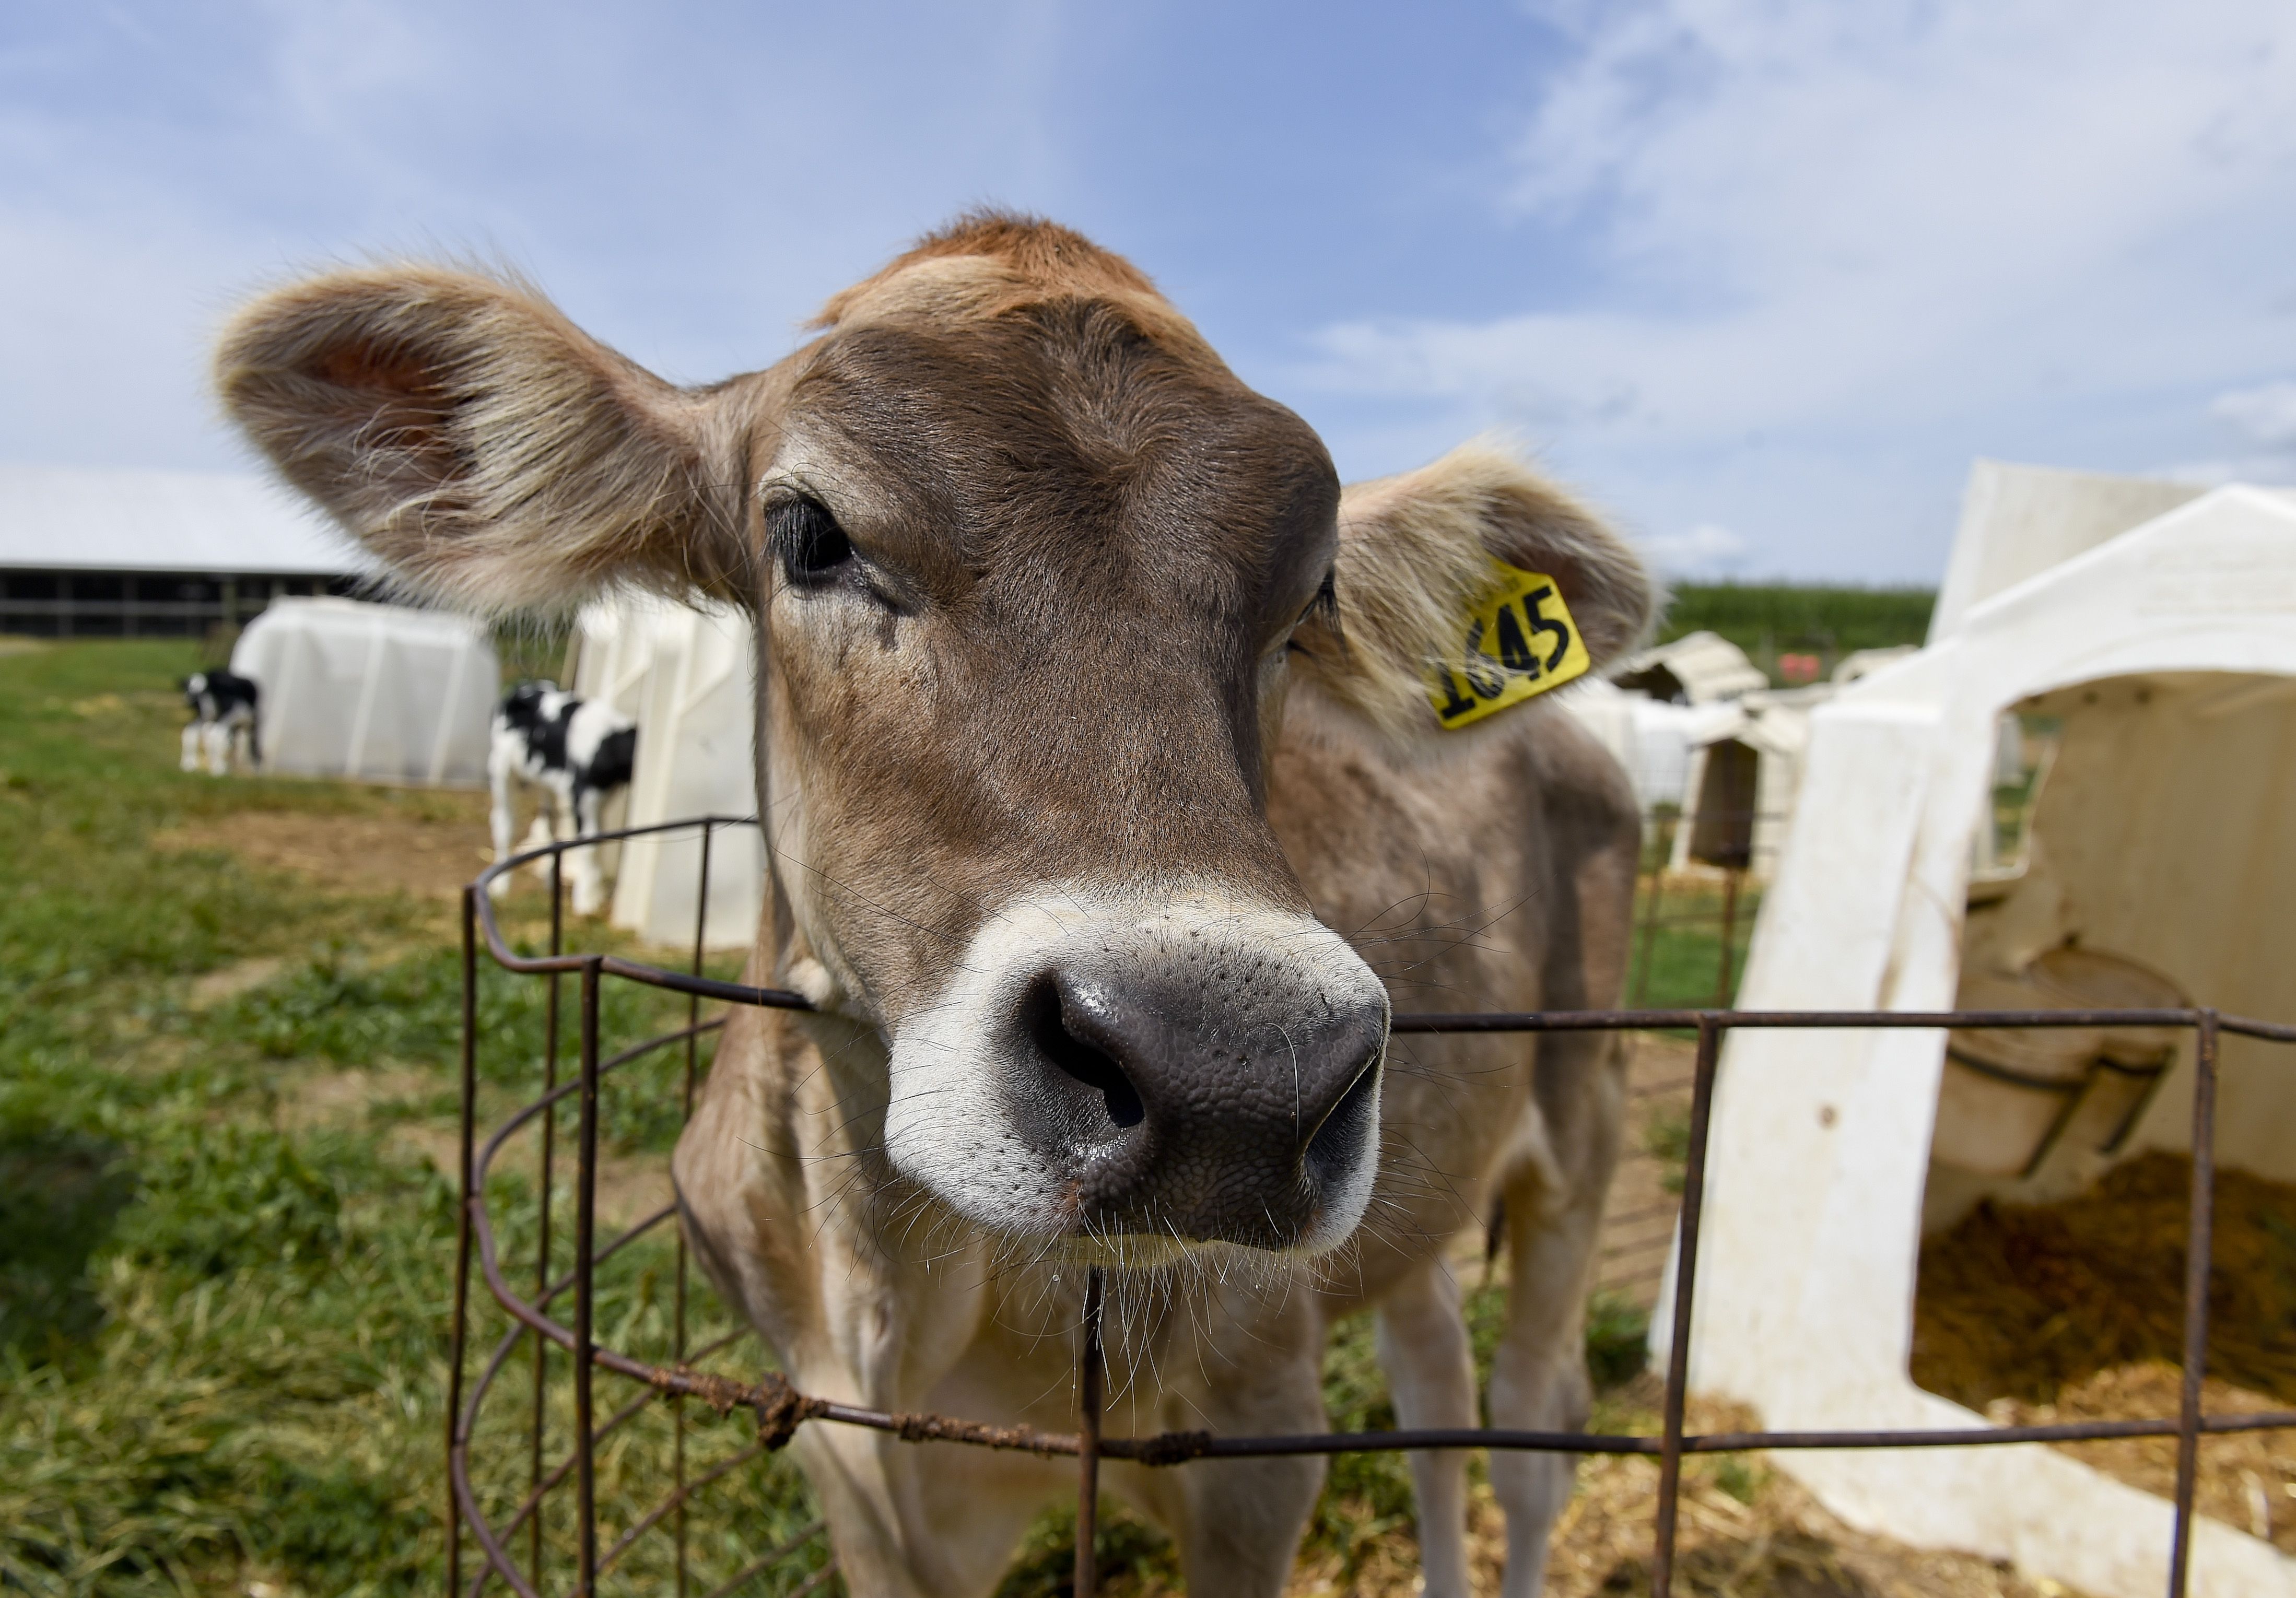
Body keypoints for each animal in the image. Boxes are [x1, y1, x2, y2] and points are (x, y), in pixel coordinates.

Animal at [179, 669, 261, 775]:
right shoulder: (252, 723)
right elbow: (253, 743)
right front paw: (257, 770)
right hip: (226, 715)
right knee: (217, 734)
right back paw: (218, 768)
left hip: (206, 714)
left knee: (192, 731)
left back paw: (189, 764)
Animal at [487, 679, 638, 917]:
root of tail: (524, 687)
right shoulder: (582, 794)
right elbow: (589, 843)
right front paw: (586, 902)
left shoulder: (601, 797)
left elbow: (599, 837)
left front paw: (593, 893)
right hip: (501, 770)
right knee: (504, 822)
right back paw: (501, 886)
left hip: (546, 784)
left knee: (549, 823)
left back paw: (550, 879)